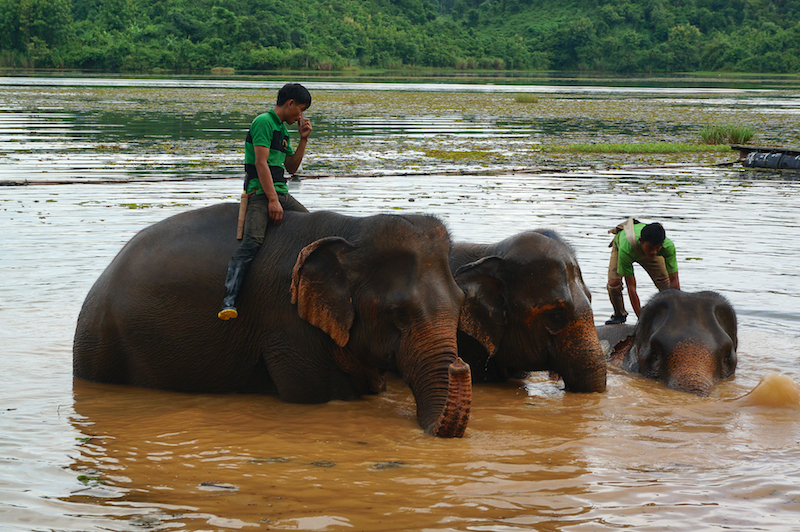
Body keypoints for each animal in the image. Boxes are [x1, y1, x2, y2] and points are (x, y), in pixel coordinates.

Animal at [72, 204, 472, 436]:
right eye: (397, 313)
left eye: (461, 301)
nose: (461, 365)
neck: (351, 230)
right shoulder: (286, 325)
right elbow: (320, 394)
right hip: (103, 345)